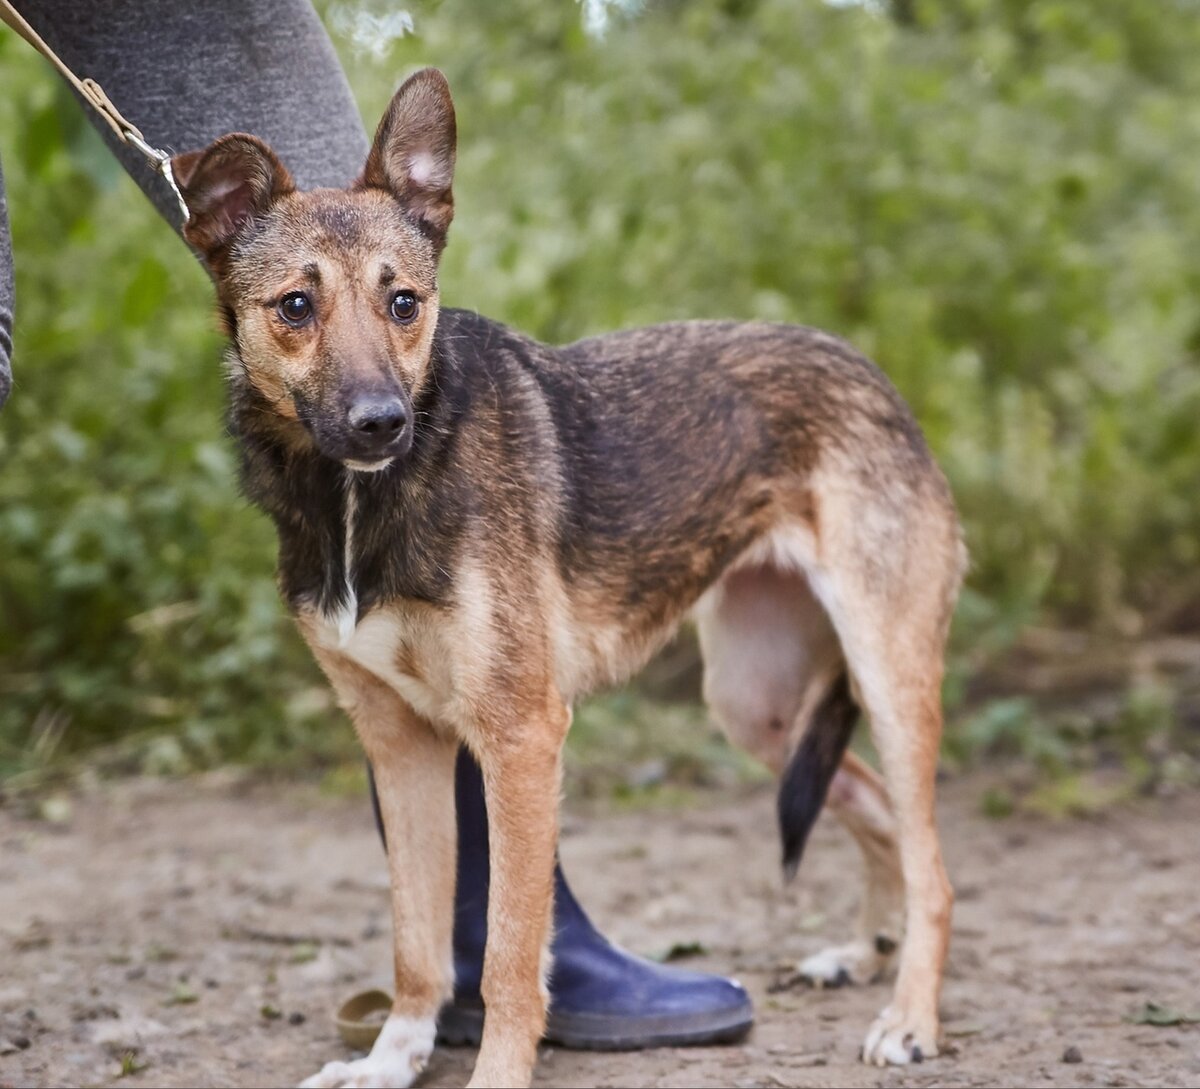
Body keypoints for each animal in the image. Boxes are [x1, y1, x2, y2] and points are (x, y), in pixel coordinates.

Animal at [175, 70, 964, 1089]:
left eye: (404, 303)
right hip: (758, 702)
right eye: (296, 306)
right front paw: (392, 1057)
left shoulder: (519, 735)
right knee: (876, 813)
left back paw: (908, 1015)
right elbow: (417, 942)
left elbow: (511, 953)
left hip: (886, 673)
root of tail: (873, 374)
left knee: (933, 865)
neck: (358, 501)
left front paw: (494, 1073)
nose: (382, 422)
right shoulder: (400, 743)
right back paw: (861, 953)